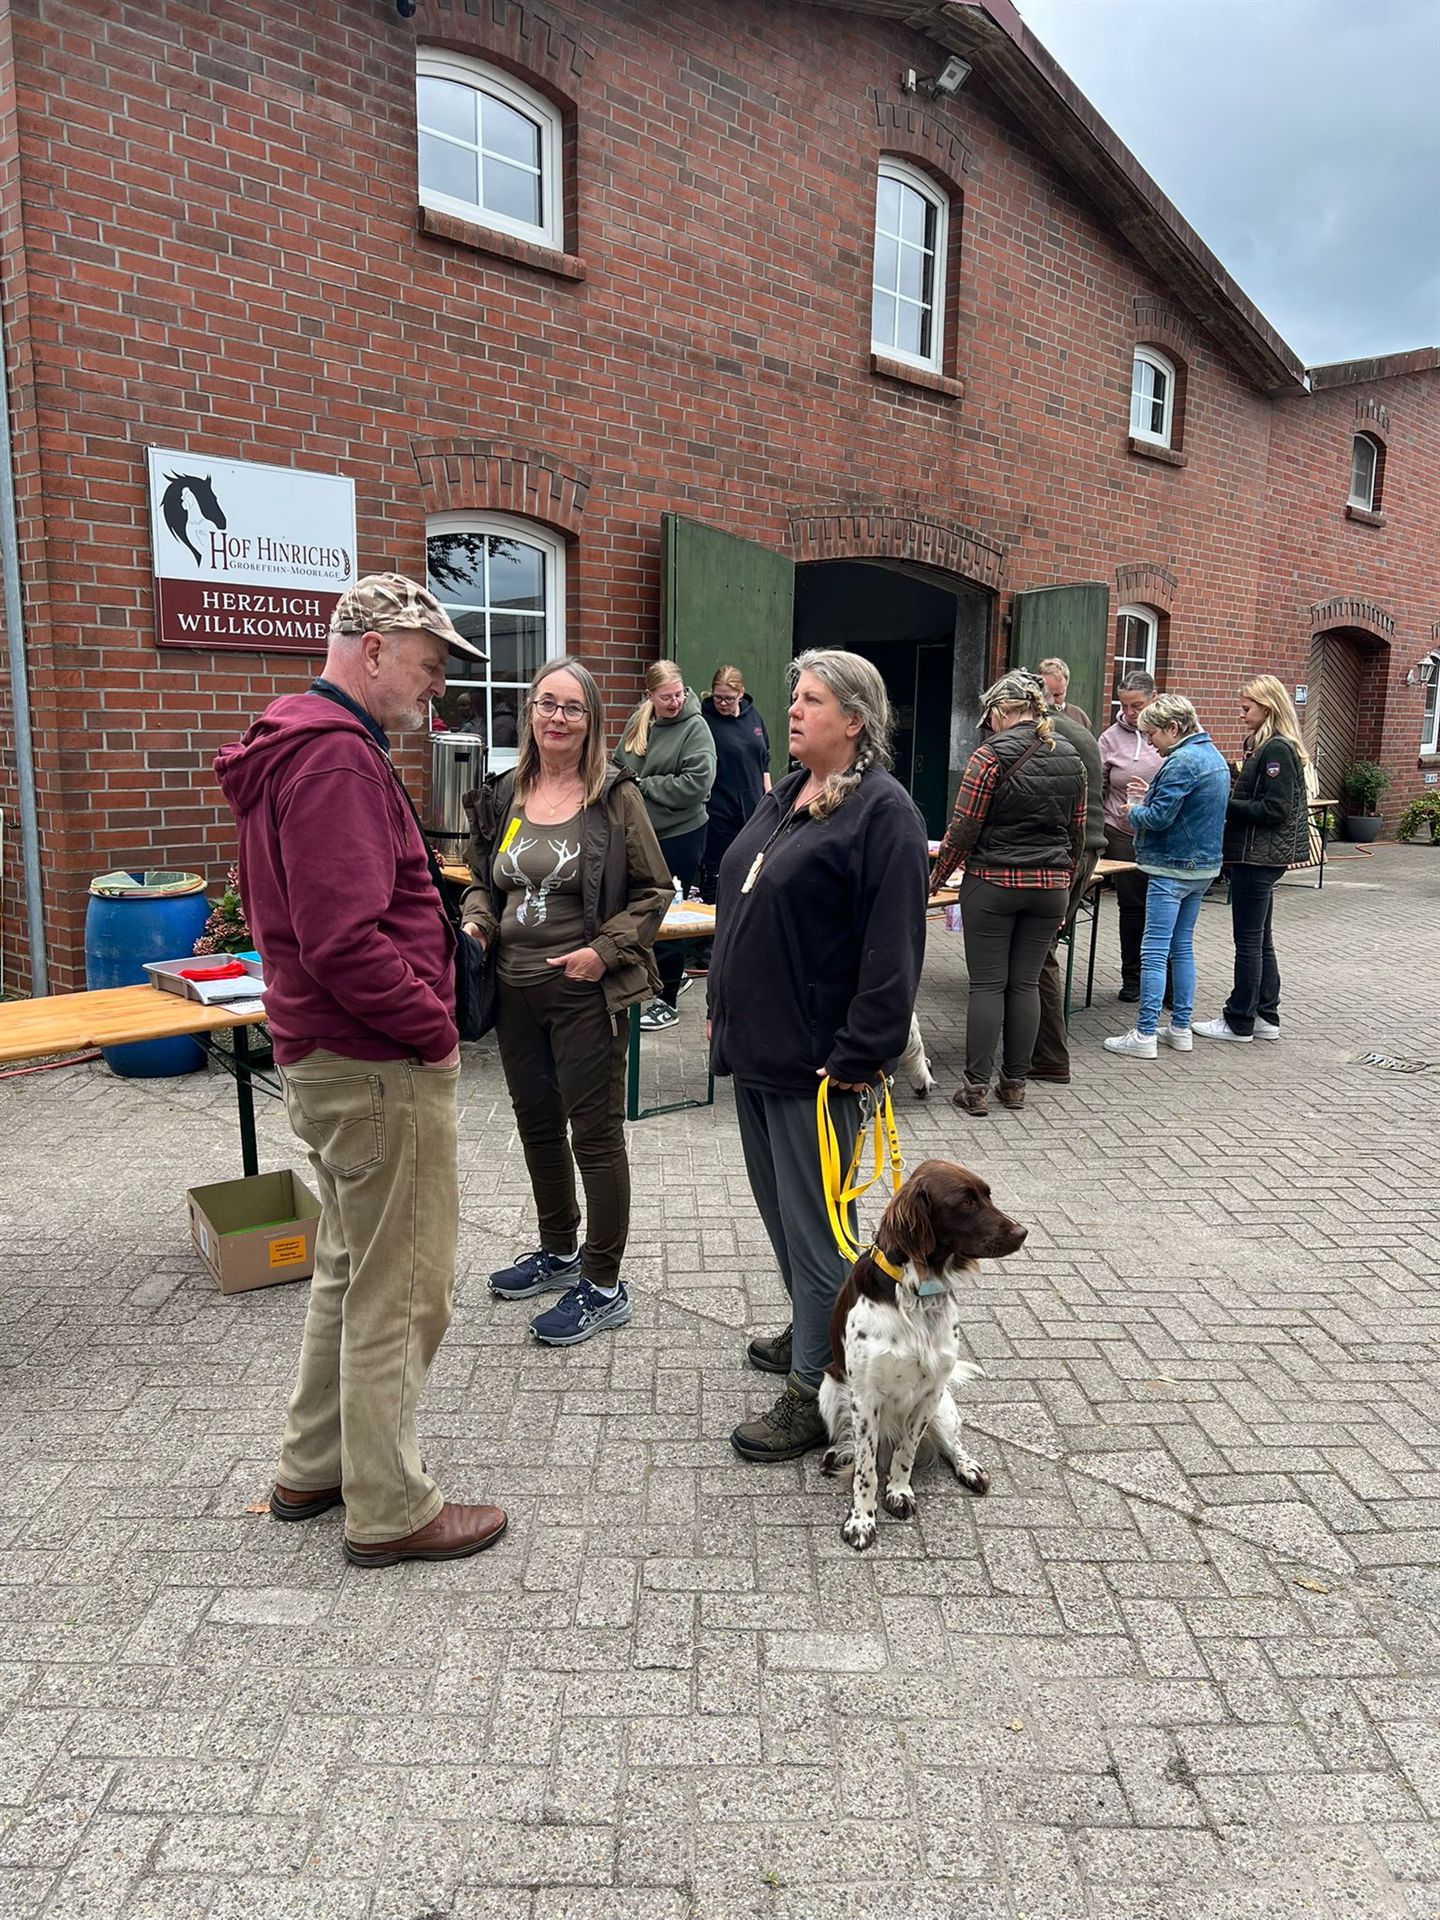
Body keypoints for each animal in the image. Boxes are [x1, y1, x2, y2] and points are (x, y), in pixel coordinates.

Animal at [818, 1158, 1027, 1551]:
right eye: (965, 1202)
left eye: (988, 1195)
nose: (1023, 1232)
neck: (917, 1290)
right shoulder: (863, 1397)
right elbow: (866, 1469)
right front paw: (862, 1520)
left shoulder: (931, 1392)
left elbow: (907, 1451)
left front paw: (899, 1492)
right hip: (829, 1390)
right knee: (852, 1442)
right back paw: (839, 1452)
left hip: (944, 1408)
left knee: (951, 1443)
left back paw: (969, 1467)